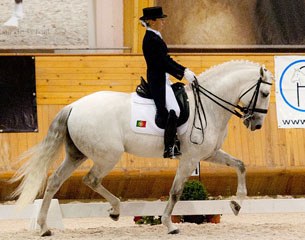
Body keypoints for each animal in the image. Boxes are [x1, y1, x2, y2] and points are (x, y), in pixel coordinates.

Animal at [11, 60, 274, 236]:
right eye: (264, 93)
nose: (256, 124)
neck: (209, 106)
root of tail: (73, 106)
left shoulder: (208, 154)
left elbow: (240, 165)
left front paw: (237, 204)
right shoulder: (189, 159)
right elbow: (175, 192)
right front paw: (169, 224)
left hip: (77, 154)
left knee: (55, 181)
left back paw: (45, 227)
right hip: (107, 156)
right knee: (90, 179)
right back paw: (115, 210)